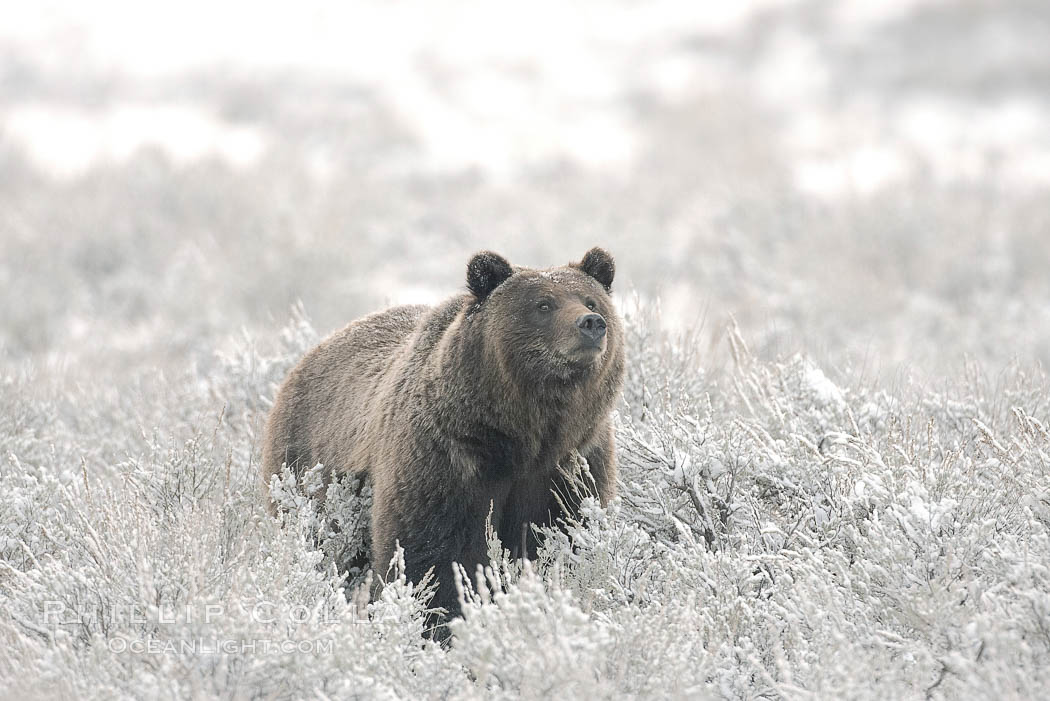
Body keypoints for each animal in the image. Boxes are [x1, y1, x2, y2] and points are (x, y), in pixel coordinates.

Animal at [261, 248, 625, 634]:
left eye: (591, 300)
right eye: (543, 304)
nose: (591, 323)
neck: (522, 435)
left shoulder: (570, 463)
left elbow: (564, 537)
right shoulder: (446, 460)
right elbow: (432, 556)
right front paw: (438, 622)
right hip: (305, 471)